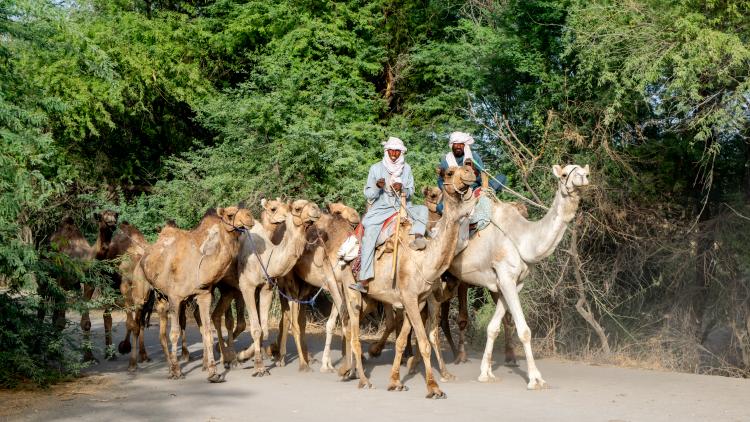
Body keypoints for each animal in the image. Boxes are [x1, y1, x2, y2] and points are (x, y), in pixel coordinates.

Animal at [128, 206, 258, 380]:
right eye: (230, 215)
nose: (250, 217)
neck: (198, 267)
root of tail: (144, 257)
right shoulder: (175, 298)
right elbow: (175, 333)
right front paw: (178, 371)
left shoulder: (204, 295)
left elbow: (208, 331)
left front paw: (213, 372)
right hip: (141, 292)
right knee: (137, 325)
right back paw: (134, 365)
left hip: (161, 299)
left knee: (161, 334)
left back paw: (169, 367)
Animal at [340, 165, 476, 398]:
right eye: (450, 172)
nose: (470, 170)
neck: (424, 259)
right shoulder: (410, 298)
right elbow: (424, 342)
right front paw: (434, 388)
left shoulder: (417, 300)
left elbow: (403, 340)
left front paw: (395, 382)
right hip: (351, 292)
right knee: (355, 334)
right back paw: (364, 380)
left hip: (370, 299)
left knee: (349, 325)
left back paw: (349, 372)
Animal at [450, 163, 592, 388]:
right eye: (563, 174)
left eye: (584, 171)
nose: (583, 177)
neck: (522, 238)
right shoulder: (505, 277)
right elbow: (524, 331)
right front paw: (536, 379)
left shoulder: (512, 283)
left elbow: (493, 327)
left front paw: (486, 373)